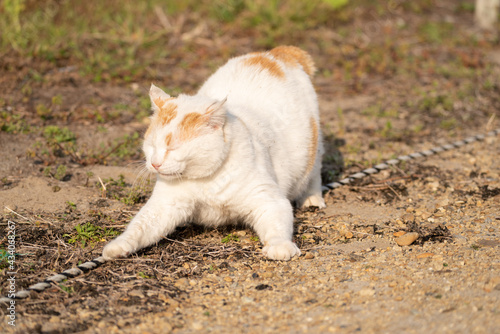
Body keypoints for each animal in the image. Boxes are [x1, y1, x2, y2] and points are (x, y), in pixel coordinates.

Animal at [103, 45, 326, 262]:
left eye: (173, 147)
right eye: (151, 146)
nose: (154, 163)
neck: (207, 178)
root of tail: (274, 53)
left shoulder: (268, 199)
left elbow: (277, 226)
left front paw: (280, 246)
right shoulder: (164, 206)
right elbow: (139, 228)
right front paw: (117, 246)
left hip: (312, 148)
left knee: (315, 172)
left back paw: (312, 198)